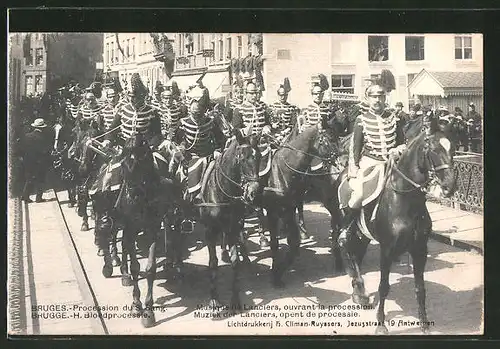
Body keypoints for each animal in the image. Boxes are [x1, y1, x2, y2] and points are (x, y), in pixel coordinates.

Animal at [262, 118, 340, 286]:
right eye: (330, 139)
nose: (338, 164)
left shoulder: (290, 209)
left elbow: (294, 241)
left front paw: (278, 270)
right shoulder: (275, 211)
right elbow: (276, 243)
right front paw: (276, 272)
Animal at [336, 118, 458, 334]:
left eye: (452, 148)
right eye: (433, 148)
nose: (449, 186)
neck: (406, 200)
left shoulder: (420, 249)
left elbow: (420, 288)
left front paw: (424, 324)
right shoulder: (387, 250)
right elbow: (384, 287)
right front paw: (381, 325)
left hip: (364, 234)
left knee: (357, 252)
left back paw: (359, 291)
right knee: (346, 247)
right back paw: (359, 289)